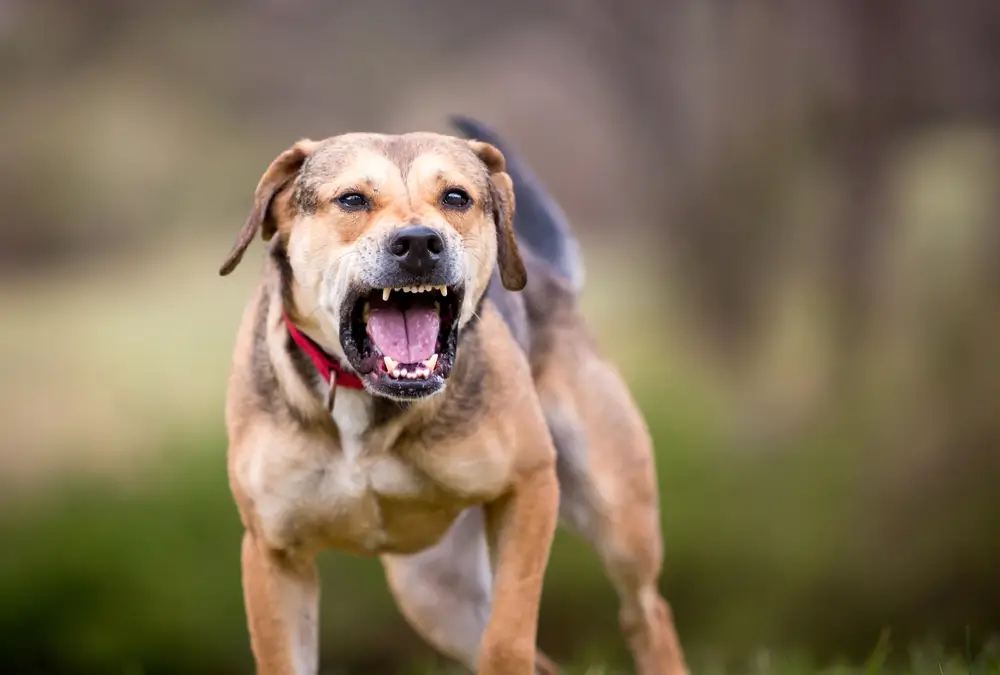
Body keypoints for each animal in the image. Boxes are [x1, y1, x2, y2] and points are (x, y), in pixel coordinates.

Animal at [219, 117, 688, 675]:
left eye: (456, 197)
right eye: (352, 199)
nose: (420, 243)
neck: (367, 401)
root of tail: (553, 278)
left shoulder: (530, 486)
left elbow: (507, 640)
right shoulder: (274, 553)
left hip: (617, 512)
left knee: (646, 611)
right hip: (434, 591)